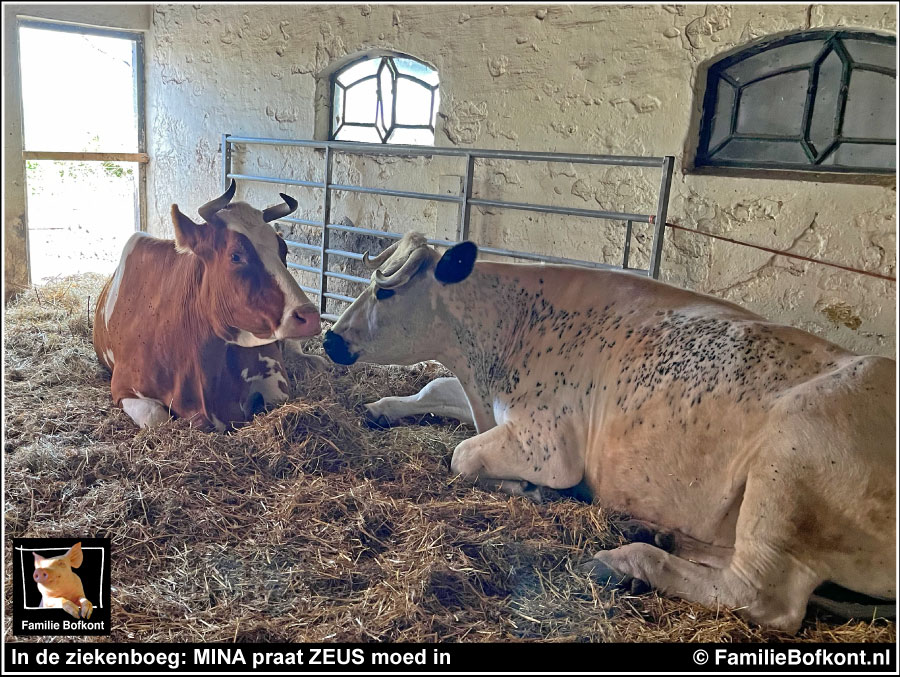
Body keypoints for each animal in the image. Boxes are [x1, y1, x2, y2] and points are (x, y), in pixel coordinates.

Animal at [326, 234, 896, 632]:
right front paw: (380, 407)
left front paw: (524, 488)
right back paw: (659, 536)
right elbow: (434, 387)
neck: (492, 355)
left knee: (761, 595)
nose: (331, 339)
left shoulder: (549, 446)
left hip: (786, 472)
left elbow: (462, 455)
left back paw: (621, 560)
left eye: (383, 290)